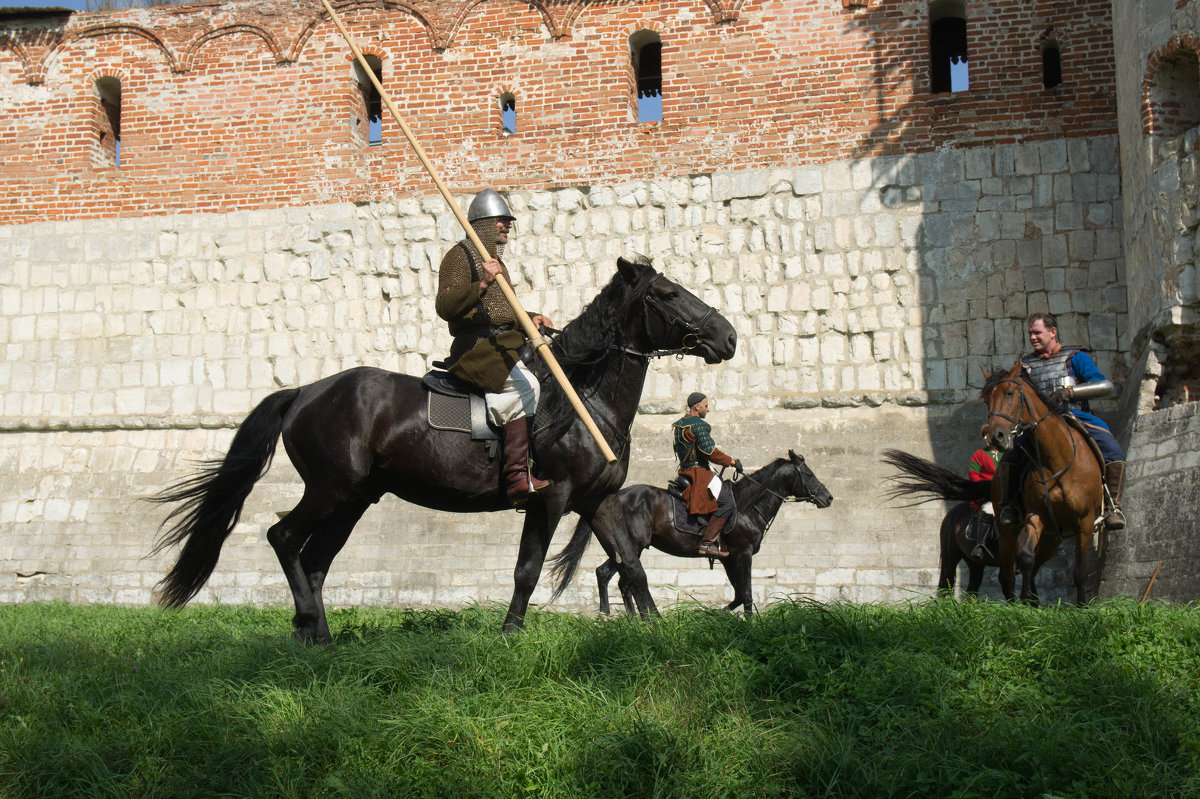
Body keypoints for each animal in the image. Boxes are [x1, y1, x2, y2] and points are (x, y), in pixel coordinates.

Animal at [154, 256, 734, 643]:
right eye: (667, 293)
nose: (727, 337)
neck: (581, 398)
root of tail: (303, 392)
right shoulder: (549, 499)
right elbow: (527, 568)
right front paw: (510, 634)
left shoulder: (599, 501)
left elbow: (631, 564)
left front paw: (654, 630)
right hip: (330, 491)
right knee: (284, 537)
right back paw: (305, 625)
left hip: (353, 501)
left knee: (315, 560)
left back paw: (319, 637)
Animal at [549, 451, 830, 611]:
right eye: (808, 473)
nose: (828, 497)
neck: (747, 505)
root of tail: (616, 495)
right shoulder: (743, 554)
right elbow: (748, 595)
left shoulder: (729, 558)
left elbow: (739, 594)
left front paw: (715, 614)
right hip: (632, 547)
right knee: (609, 575)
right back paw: (609, 615)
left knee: (618, 580)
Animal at [979, 359, 1099, 597]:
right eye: (987, 400)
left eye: (1010, 393)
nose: (996, 437)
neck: (1057, 458)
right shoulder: (1036, 514)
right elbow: (1026, 558)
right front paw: (1026, 600)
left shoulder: (1085, 521)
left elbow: (1080, 573)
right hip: (1009, 531)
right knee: (1007, 575)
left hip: (1053, 537)